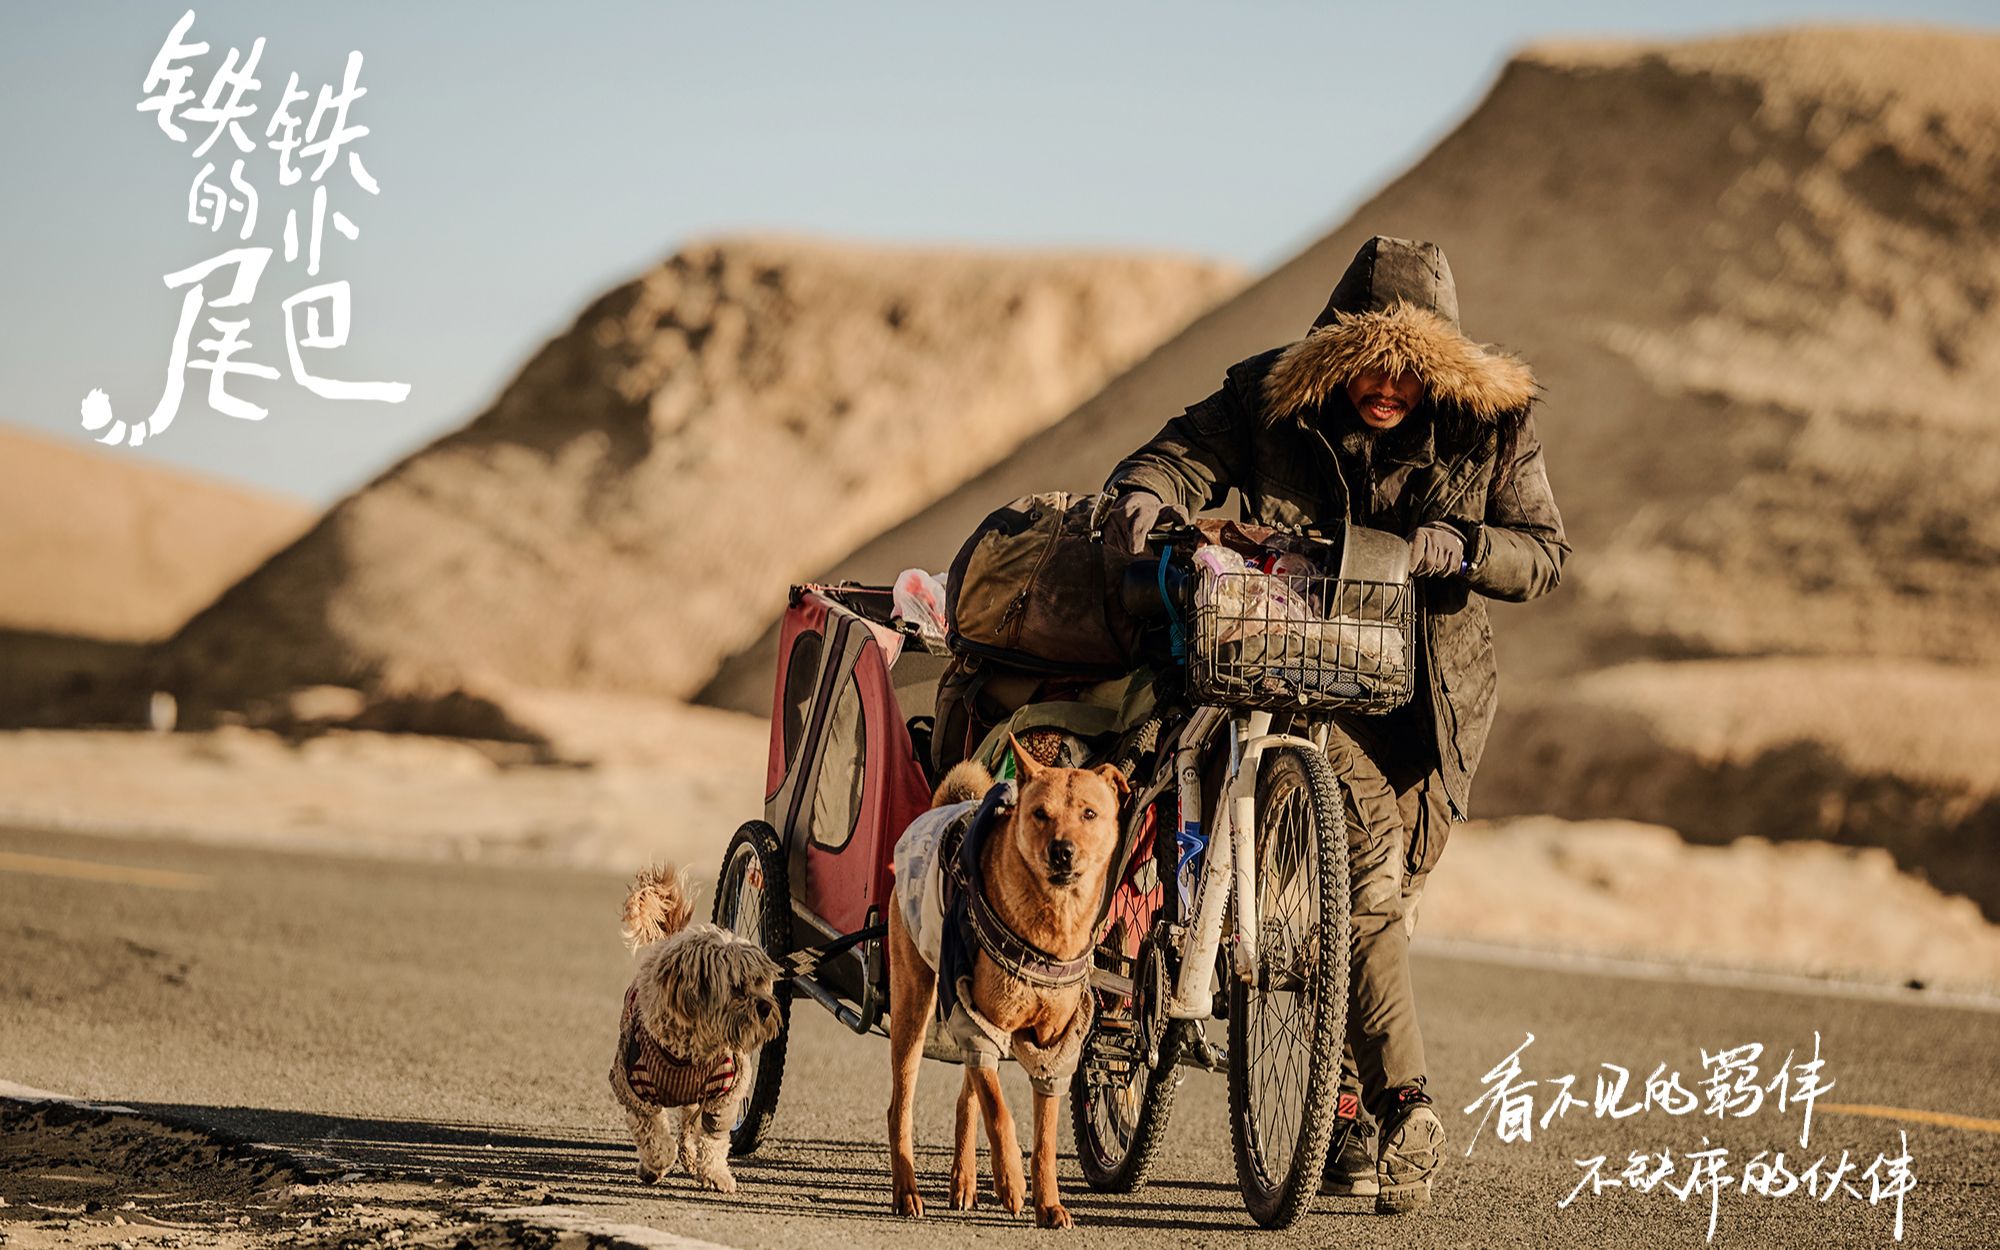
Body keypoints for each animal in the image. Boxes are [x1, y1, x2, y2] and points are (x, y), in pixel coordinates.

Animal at [888, 736, 1128, 1224]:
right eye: (1040, 813)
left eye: (1089, 813)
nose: (1062, 850)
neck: (1052, 925)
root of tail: (938, 809)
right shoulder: (981, 1023)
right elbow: (1000, 1112)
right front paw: (1013, 1184)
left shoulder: (1052, 1046)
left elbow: (1045, 1138)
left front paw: (1049, 1203)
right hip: (915, 1007)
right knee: (901, 1106)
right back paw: (907, 1191)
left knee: (966, 1097)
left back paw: (963, 1182)